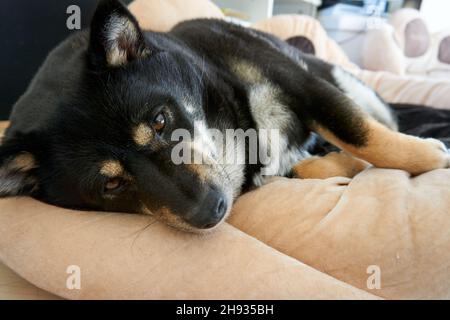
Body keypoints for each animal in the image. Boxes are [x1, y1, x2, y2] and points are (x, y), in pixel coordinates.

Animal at [0, 0, 448, 231]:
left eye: (160, 121)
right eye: (110, 184)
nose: (210, 211)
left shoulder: (304, 86)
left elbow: (361, 134)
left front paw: (429, 156)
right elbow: (313, 165)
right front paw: (345, 166)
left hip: (346, 85)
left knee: (379, 121)